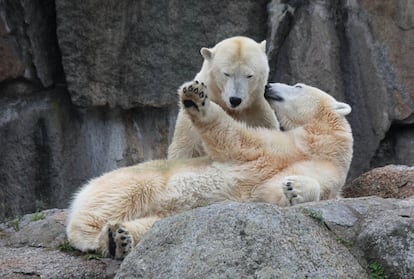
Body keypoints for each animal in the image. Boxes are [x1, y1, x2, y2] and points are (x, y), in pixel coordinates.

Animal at [67, 81, 352, 260]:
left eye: (298, 86)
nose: (269, 86)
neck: (317, 143)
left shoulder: (324, 167)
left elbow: (282, 189)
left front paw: (295, 187)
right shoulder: (275, 145)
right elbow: (236, 139)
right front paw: (195, 97)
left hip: (169, 214)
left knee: (151, 224)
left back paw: (119, 239)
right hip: (137, 178)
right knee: (119, 197)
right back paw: (101, 236)